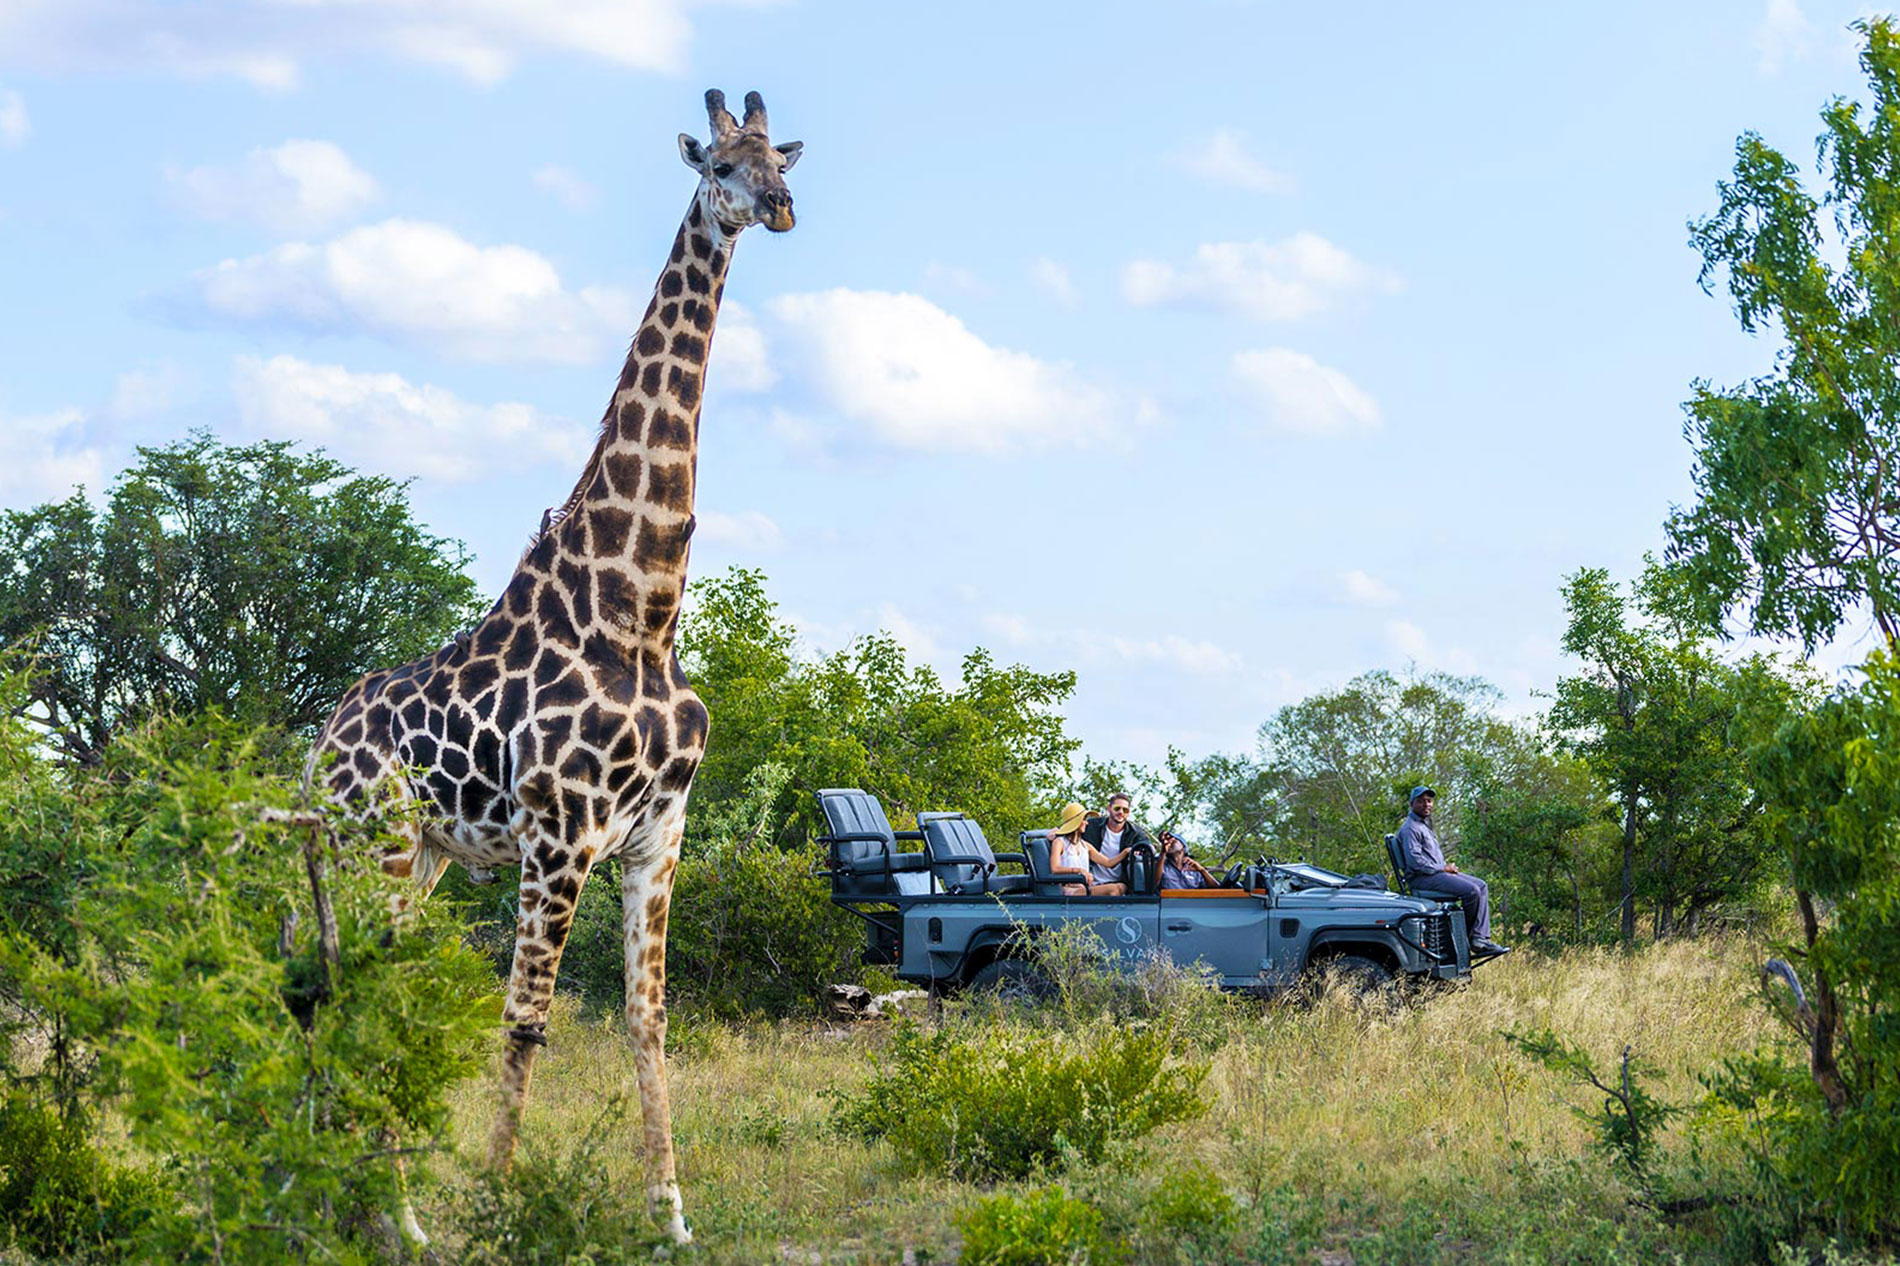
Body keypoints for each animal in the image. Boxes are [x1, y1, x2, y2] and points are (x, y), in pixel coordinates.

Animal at [307, 91, 798, 1239]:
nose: (779, 207)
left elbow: (645, 1020)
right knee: (350, 992)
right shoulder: (561, 831)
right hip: (371, 840)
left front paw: (670, 1216)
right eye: (719, 165)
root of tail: (316, 744)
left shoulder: (658, 831)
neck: (640, 609)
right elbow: (526, 1018)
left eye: (781, 159)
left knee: (353, 990)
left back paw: (354, 1205)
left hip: (424, 853)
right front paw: (494, 1207)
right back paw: (384, 1214)